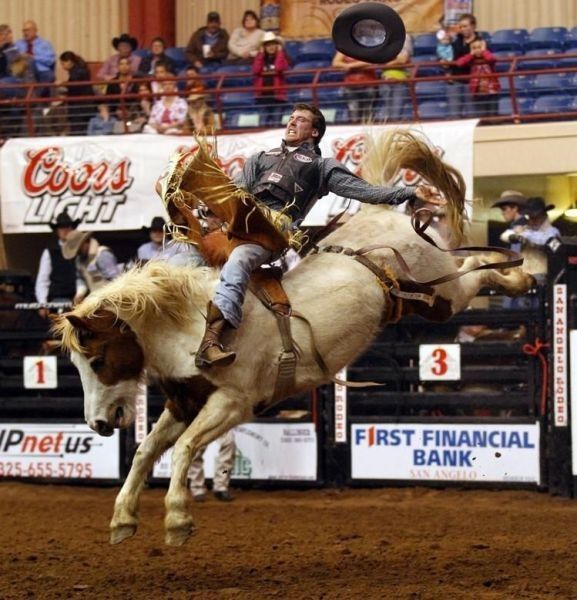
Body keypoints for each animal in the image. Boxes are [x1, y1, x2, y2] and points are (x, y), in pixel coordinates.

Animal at [54, 203, 532, 548]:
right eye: (76, 365)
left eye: (97, 360)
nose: (98, 424)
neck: (193, 326)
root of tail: (386, 213)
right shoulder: (185, 402)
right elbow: (147, 451)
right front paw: (122, 519)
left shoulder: (233, 403)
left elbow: (186, 447)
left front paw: (176, 520)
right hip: (423, 298)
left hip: (442, 293)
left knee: (474, 270)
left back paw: (521, 275)